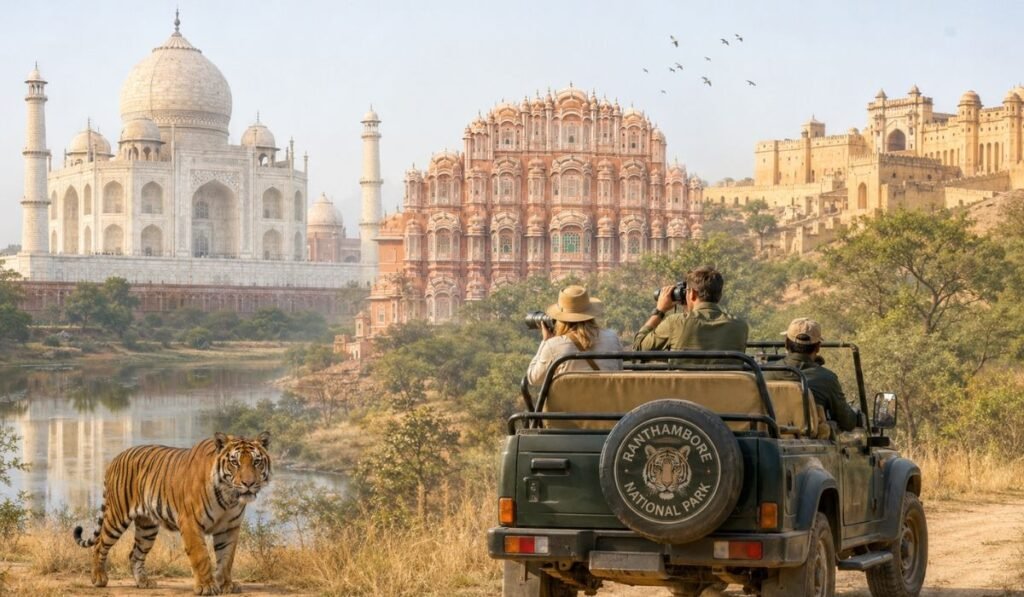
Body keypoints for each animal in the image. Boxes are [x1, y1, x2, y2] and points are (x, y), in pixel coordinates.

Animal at [73, 431, 272, 595]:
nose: (248, 483)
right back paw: (99, 578)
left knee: (134, 554)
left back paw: (143, 582)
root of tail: (115, 458)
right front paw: (206, 586)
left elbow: (226, 557)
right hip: (117, 516)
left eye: (256, 462)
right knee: (99, 544)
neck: (229, 497)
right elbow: (201, 556)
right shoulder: (190, 523)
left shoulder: (229, 527)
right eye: (234, 462)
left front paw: (226, 585)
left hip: (147, 528)